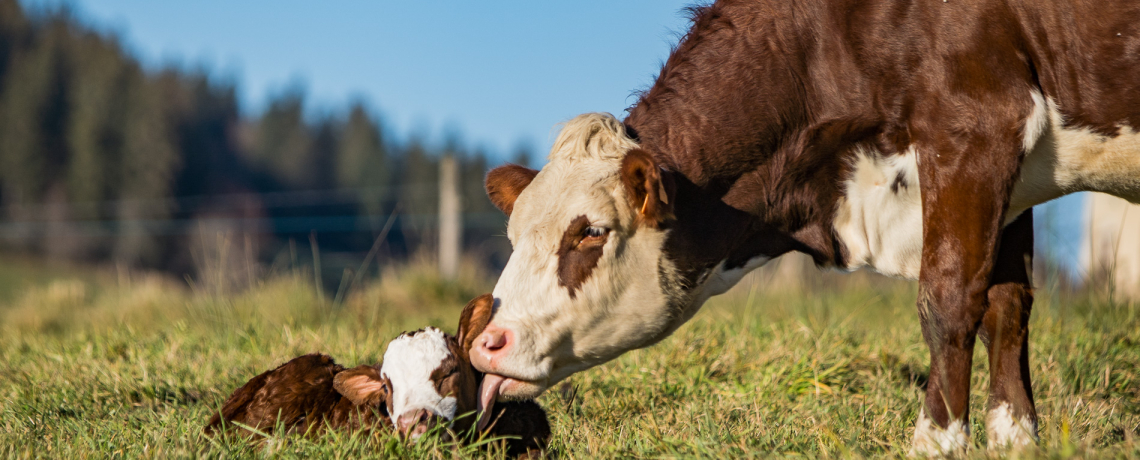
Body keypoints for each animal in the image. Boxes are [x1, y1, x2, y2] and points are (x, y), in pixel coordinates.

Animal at [465, 0, 1140, 453]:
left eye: (591, 233)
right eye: (513, 236)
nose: (484, 343)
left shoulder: (975, 130)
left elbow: (948, 298)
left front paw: (938, 439)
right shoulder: (1011, 181)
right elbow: (1007, 304)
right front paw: (1016, 438)